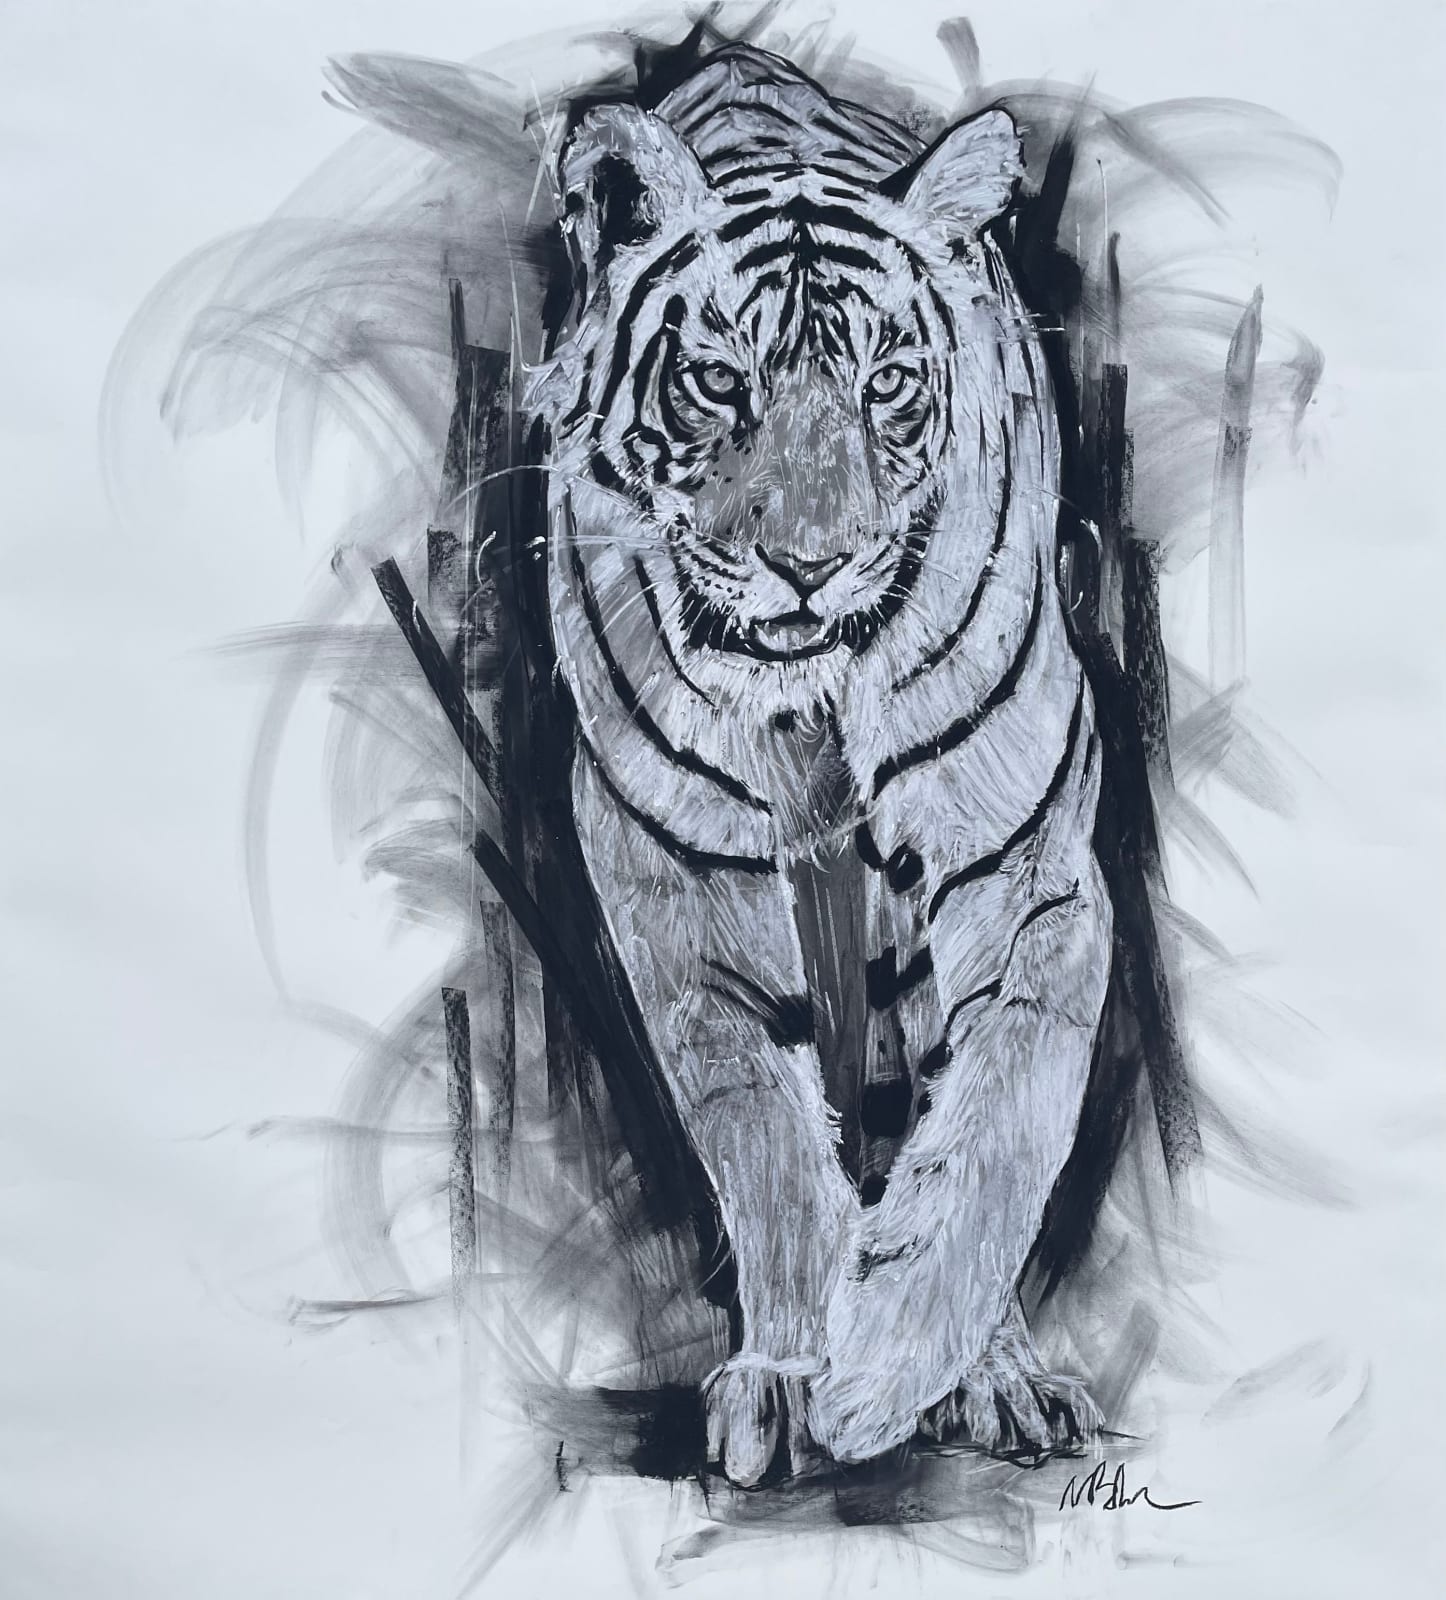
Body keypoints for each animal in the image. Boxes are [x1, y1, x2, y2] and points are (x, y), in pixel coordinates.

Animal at [529, 43, 1111, 1486]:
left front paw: (891, 1369)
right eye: (718, 383)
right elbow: (769, 1144)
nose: (809, 563)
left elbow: (1001, 1118)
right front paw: (798, 1381)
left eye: (886, 385)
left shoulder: (1026, 867)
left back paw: (990, 1371)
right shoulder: (684, 887)